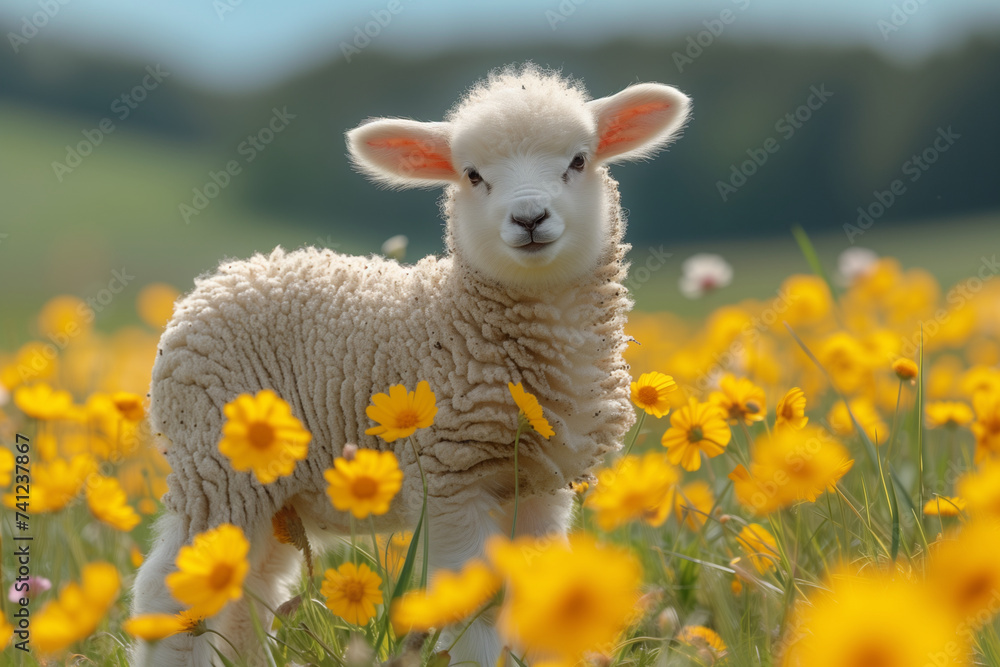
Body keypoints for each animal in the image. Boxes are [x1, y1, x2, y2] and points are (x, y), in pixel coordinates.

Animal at [132, 64, 690, 667]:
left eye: (579, 160)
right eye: (472, 175)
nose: (529, 218)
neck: (462, 319)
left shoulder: (541, 481)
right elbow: (475, 606)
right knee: (171, 589)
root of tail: (214, 281)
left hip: (275, 492)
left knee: (248, 592)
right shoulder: (448, 473)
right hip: (215, 466)